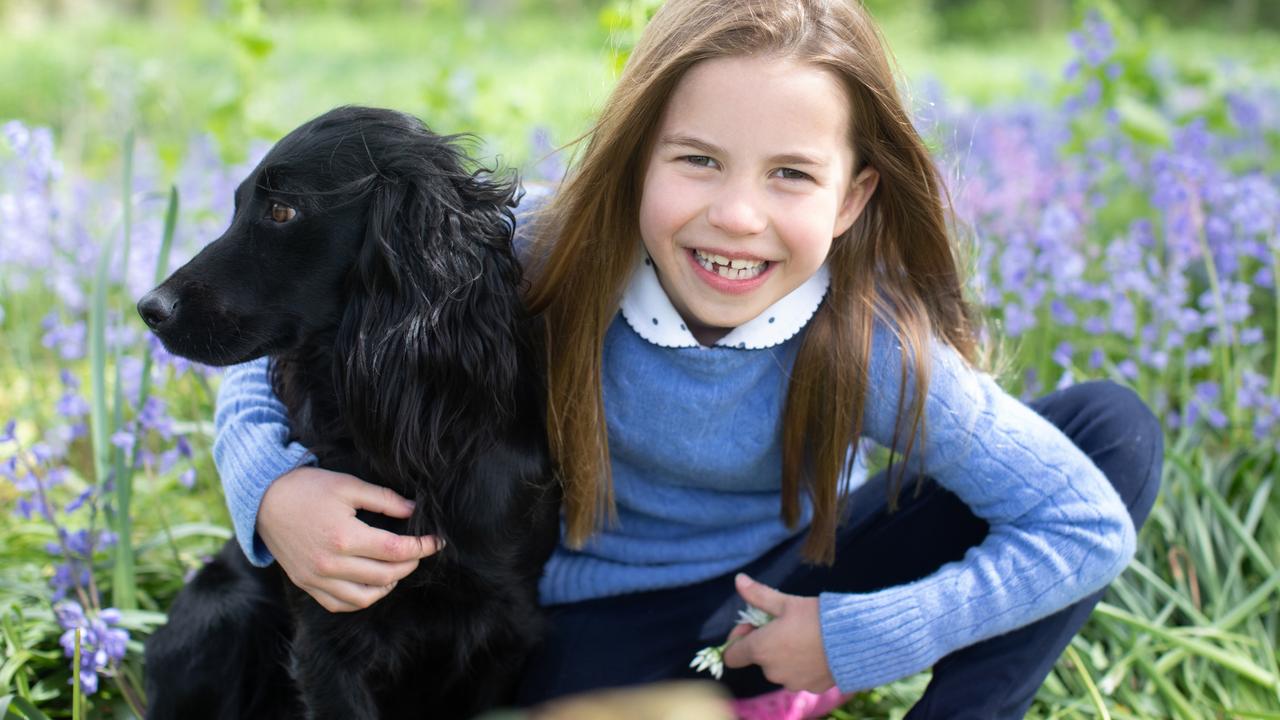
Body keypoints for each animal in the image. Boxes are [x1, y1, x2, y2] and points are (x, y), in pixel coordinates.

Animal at [137, 106, 563, 717]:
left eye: (282, 210)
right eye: (237, 204)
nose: (149, 308)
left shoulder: (507, 625)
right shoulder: (328, 631)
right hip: (221, 610)